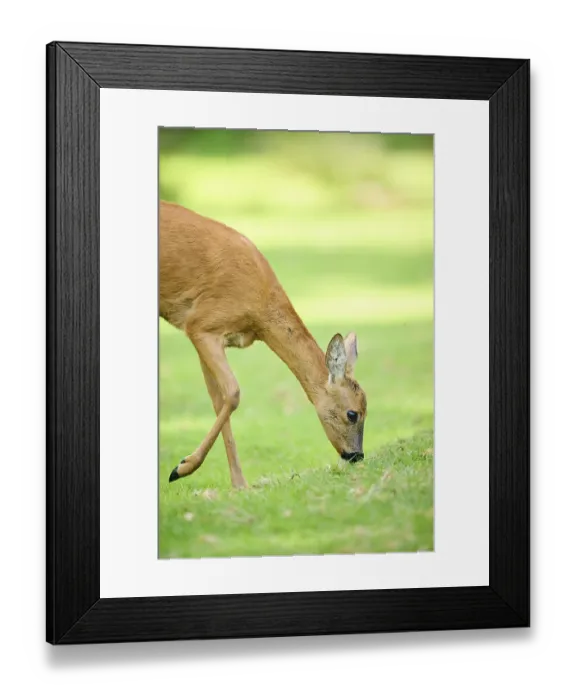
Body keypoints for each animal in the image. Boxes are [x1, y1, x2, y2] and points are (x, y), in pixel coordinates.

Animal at [160, 200, 367, 489]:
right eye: (352, 413)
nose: (356, 455)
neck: (259, 310)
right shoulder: (200, 324)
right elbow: (233, 393)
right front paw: (181, 468)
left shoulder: (206, 336)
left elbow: (218, 400)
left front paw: (239, 486)